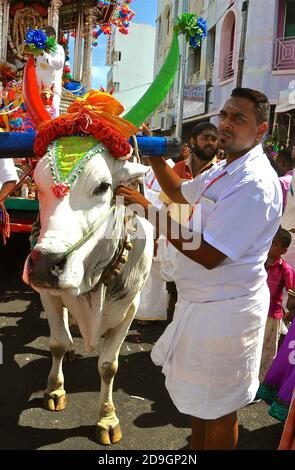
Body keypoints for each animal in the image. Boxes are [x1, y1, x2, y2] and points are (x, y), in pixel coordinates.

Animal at [23, 145, 155, 446]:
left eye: (103, 186)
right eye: (37, 184)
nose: (46, 264)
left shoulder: (129, 309)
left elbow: (108, 366)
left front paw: (107, 418)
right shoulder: (48, 296)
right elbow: (57, 343)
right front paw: (55, 390)